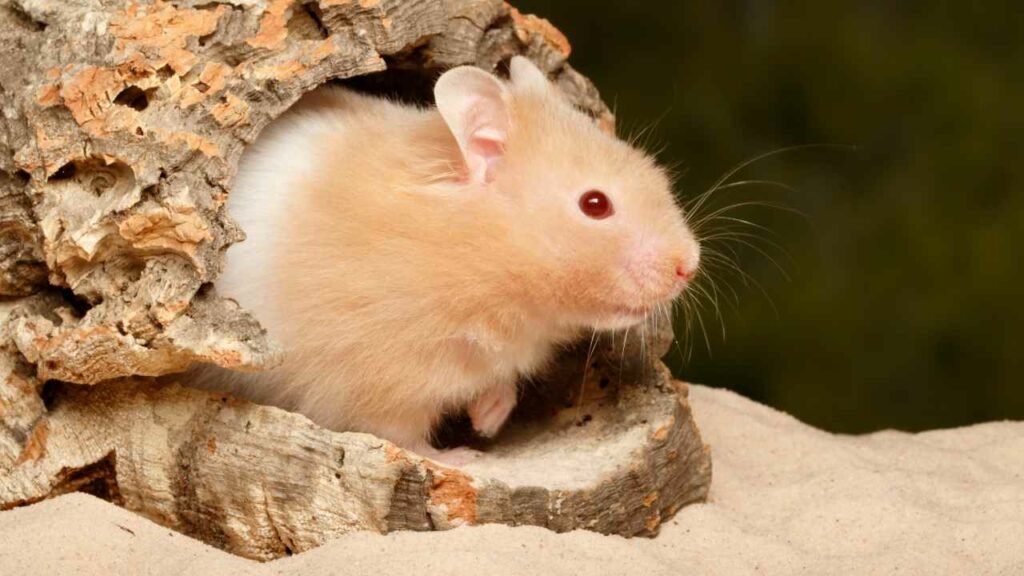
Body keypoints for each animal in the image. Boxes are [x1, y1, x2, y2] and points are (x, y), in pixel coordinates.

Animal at [200, 57, 700, 462]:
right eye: (595, 204)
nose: (688, 266)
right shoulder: (376, 376)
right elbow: (400, 435)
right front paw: (464, 456)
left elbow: (500, 384)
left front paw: (487, 420)